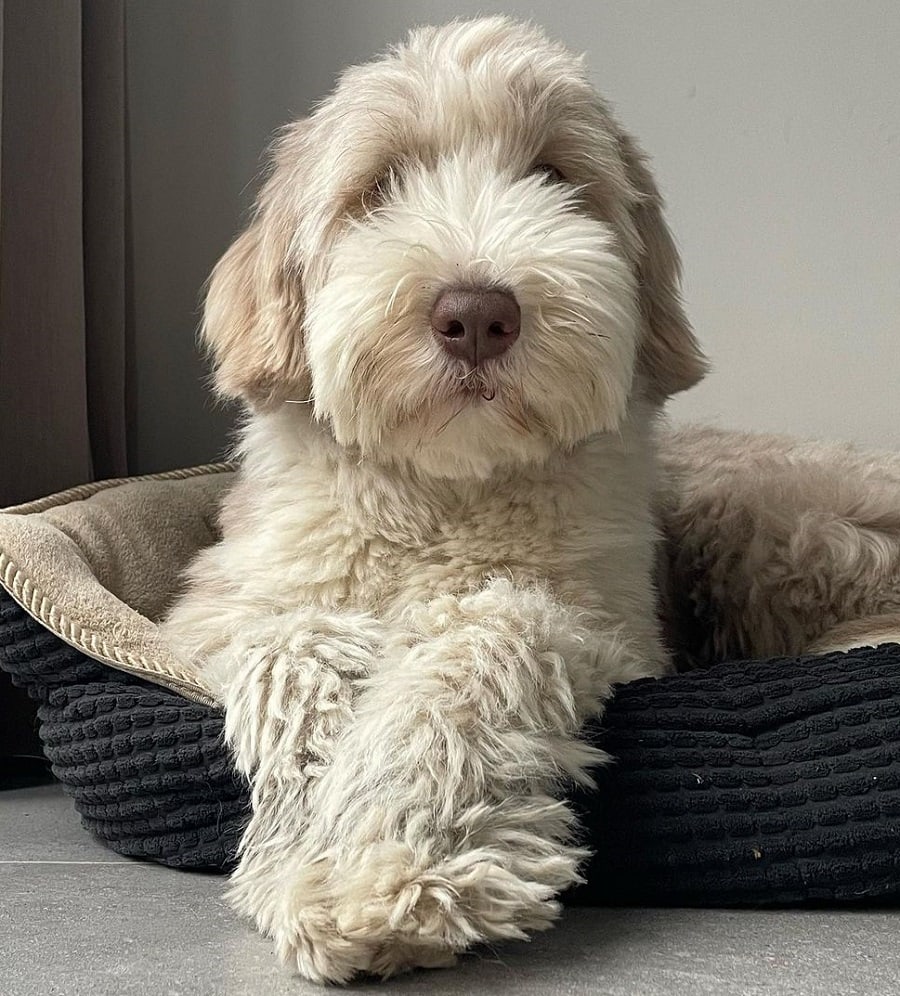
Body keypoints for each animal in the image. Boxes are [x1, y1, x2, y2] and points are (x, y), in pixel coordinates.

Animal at [162, 19, 712, 984]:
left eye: (555, 175)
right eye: (379, 186)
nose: (477, 314)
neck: (444, 494)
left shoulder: (606, 622)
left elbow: (479, 648)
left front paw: (388, 865)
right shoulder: (220, 613)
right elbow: (290, 644)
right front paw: (312, 840)